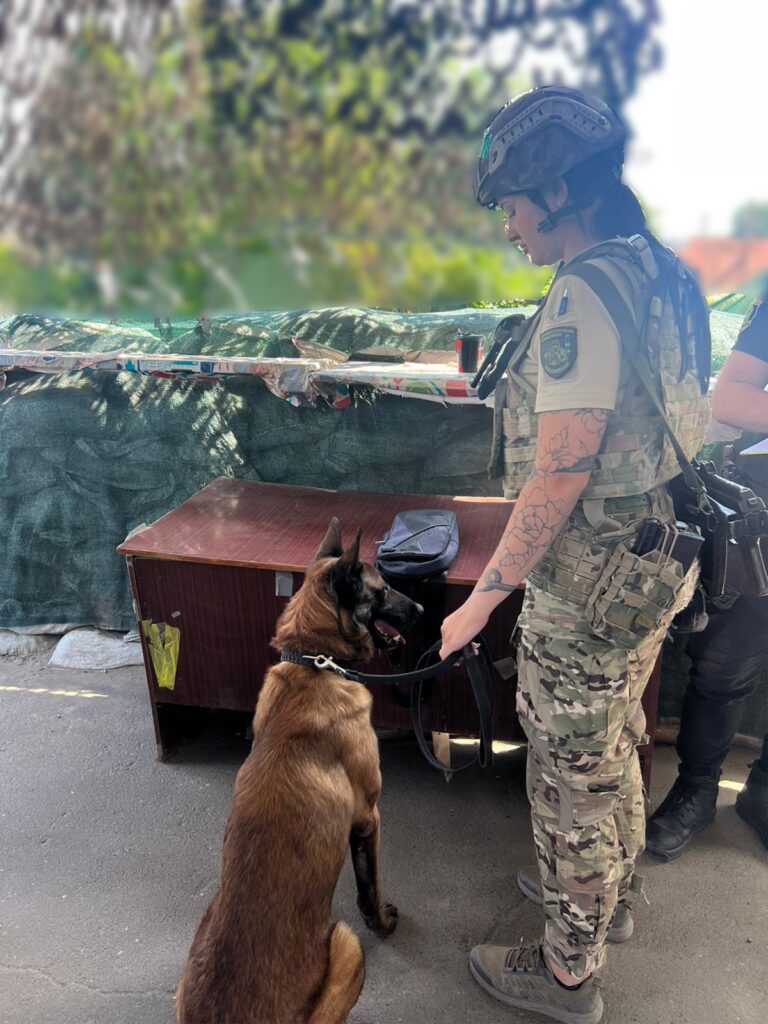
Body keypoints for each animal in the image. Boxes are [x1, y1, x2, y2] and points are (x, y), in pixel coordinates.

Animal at [177, 520, 423, 1024]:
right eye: (383, 590)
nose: (424, 609)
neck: (313, 662)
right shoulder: (368, 819)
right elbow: (370, 887)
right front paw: (383, 921)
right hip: (345, 943)